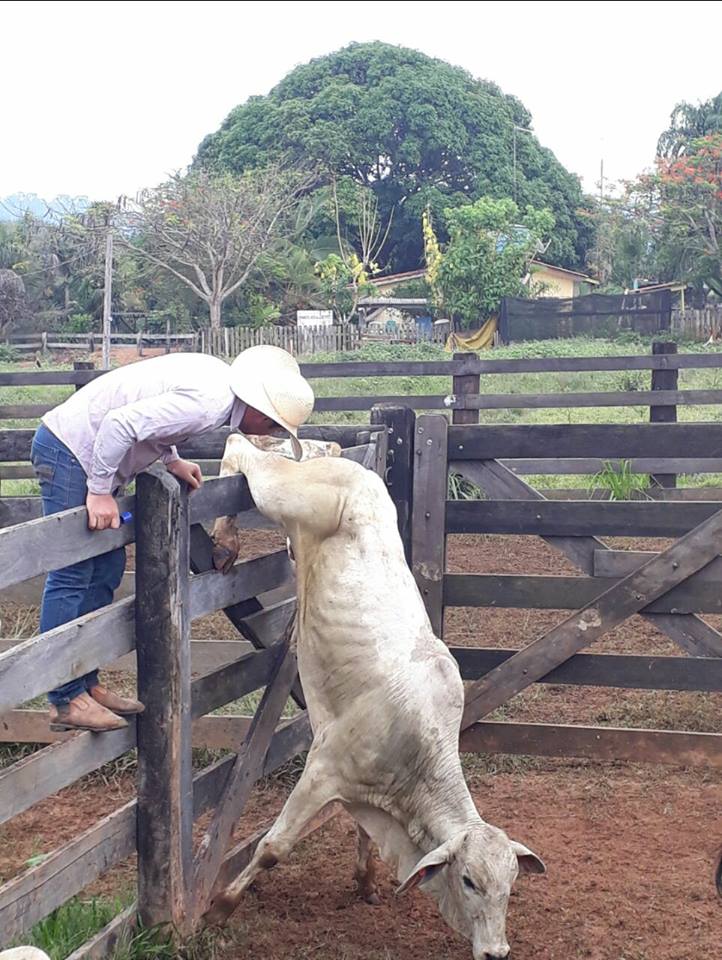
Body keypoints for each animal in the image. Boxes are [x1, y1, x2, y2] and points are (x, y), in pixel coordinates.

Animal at [205, 436, 544, 960]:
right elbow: (273, 849)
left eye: (511, 886)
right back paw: (225, 539)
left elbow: (360, 832)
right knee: (241, 448)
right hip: (283, 494)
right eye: (469, 881)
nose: (496, 952)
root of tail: (357, 473)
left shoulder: (361, 794)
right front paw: (220, 907)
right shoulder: (321, 770)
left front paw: (365, 882)